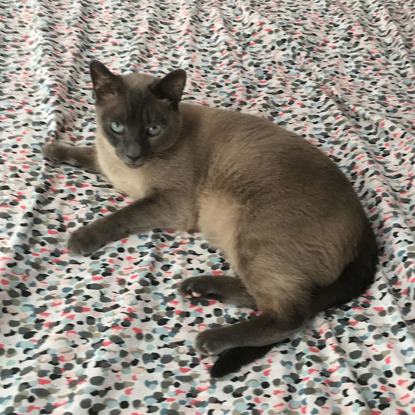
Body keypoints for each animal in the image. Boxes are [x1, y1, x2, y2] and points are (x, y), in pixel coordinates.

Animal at [43, 60, 380, 378]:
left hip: (253, 239)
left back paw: (211, 338)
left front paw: (80, 239)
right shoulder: (108, 163)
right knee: (268, 298)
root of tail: (365, 228)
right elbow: (86, 154)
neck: (126, 170)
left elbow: (119, 216)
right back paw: (197, 287)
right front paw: (52, 149)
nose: (134, 154)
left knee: (292, 314)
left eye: (153, 130)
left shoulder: (168, 203)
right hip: (242, 245)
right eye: (117, 127)